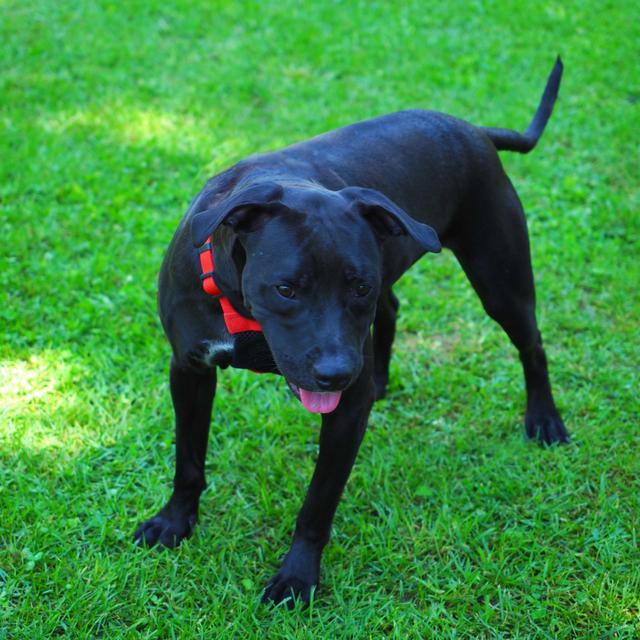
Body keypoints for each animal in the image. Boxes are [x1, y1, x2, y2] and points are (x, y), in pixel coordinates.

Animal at [135, 57, 568, 608]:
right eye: (286, 288)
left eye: (356, 285)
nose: (337, 374)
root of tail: (472, 129)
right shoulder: (189, 369)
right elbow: (188, 457)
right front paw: (175, 522)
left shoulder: (343, 410)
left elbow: (318, 503)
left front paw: (297, 576)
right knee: (392, 310)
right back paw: (381, 379)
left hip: (500, 278)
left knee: (531, 344)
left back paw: (545, 420)